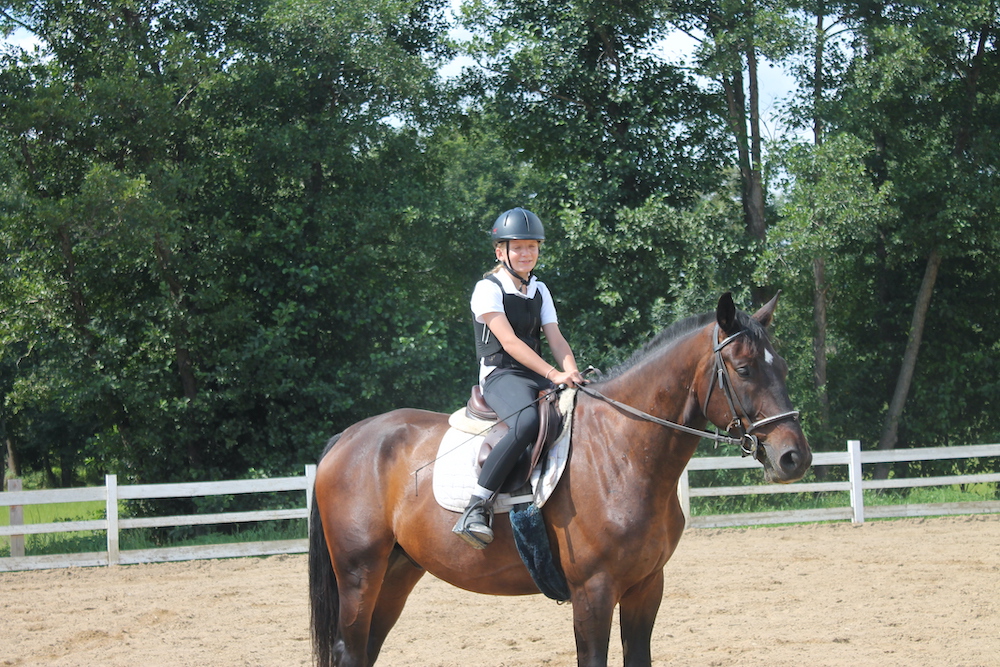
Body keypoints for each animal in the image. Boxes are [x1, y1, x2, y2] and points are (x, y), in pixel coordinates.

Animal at [309, 292, 812, 667]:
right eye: (744, 369)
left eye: (785, 368)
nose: (794, 458)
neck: (621, 450)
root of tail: (347, 439)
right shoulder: (594, 592)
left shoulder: (646, 587)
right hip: (359, 574)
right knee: (350, 651)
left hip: (397, 572)